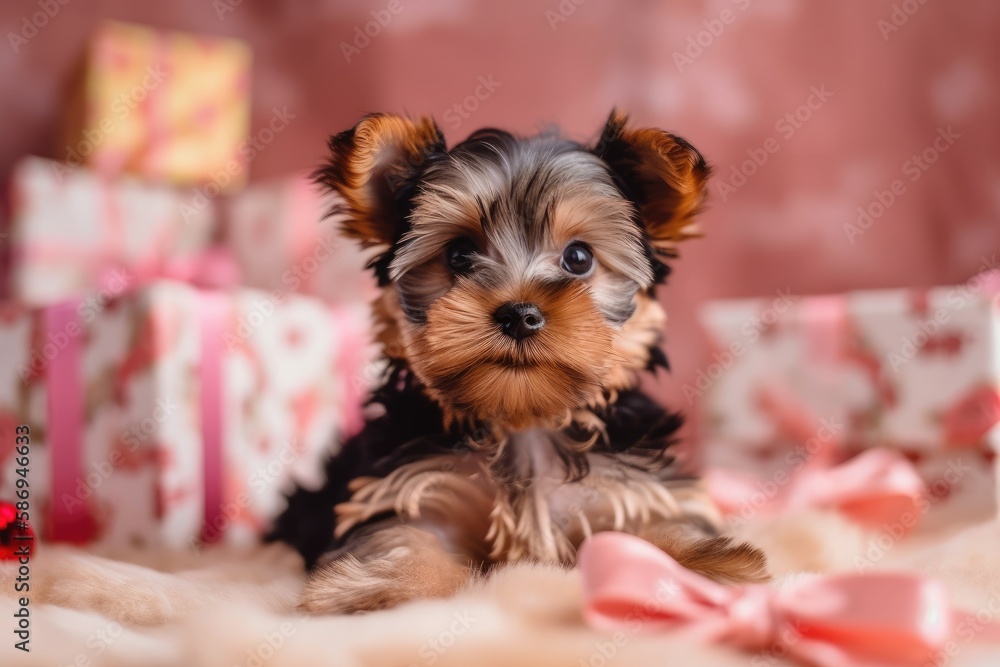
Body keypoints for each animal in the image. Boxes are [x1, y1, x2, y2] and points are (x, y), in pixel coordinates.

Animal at [270, 109, 768, 616]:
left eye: (579, 257)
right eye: (459, 254)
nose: (519, 314)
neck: (523, 420)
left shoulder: (626, 484)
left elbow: (653, 524)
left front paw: (701, 568)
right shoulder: (411, 485)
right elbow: (405, 534)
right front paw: (382, 587)